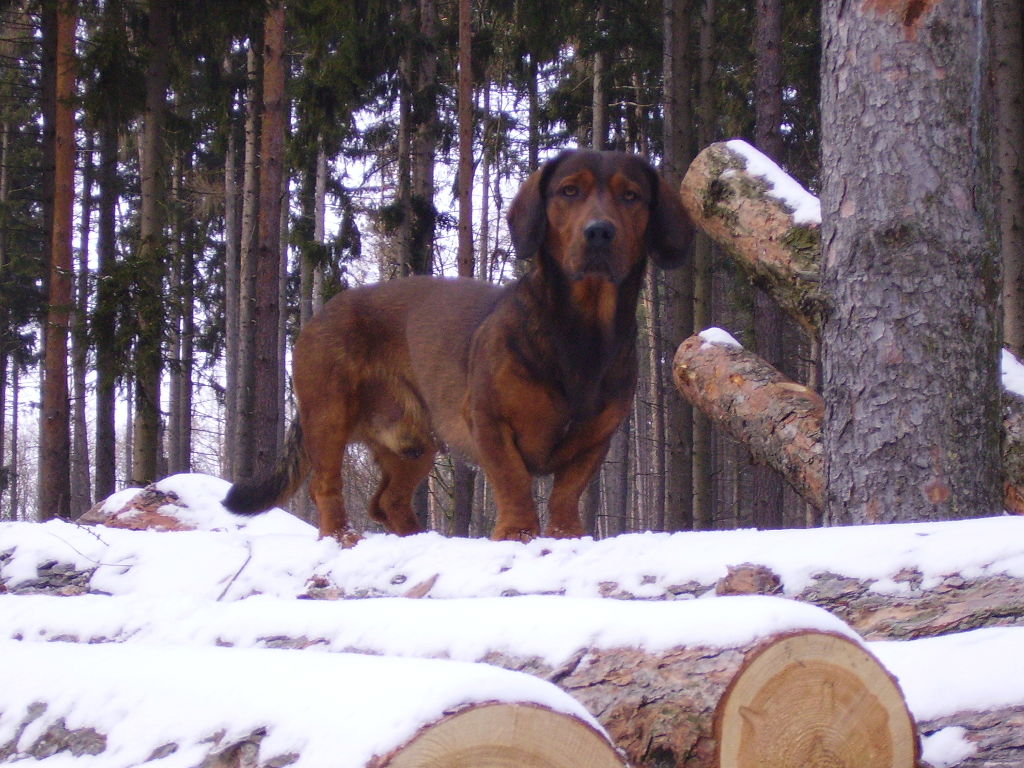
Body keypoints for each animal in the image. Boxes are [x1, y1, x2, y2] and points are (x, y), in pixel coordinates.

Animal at [220, 148, 692, 540]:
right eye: (569, 190)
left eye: (631, 196)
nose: (599, 233)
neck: (580, 330)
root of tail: (320, 314)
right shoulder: (489, 420)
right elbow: (514, 481)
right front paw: (518, 532)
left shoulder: (596, 438)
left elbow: (566, 492)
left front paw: (564, 534)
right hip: (328, 414)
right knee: (325, 486)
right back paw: (341, 535)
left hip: (413, 445)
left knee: (387, 501)